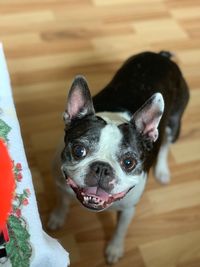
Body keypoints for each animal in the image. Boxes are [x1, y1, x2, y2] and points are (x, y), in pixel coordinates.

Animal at [48, 51, 189, 264]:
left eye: (129, 163)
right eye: (79, 151)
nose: (102, 168)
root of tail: (161, 55)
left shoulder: (128, 208)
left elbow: (120, 229)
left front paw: (114, 248)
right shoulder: (60, 184)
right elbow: (62, 201)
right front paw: (57, 217)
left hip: (174, 123)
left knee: (165, 143)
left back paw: (162, 171)